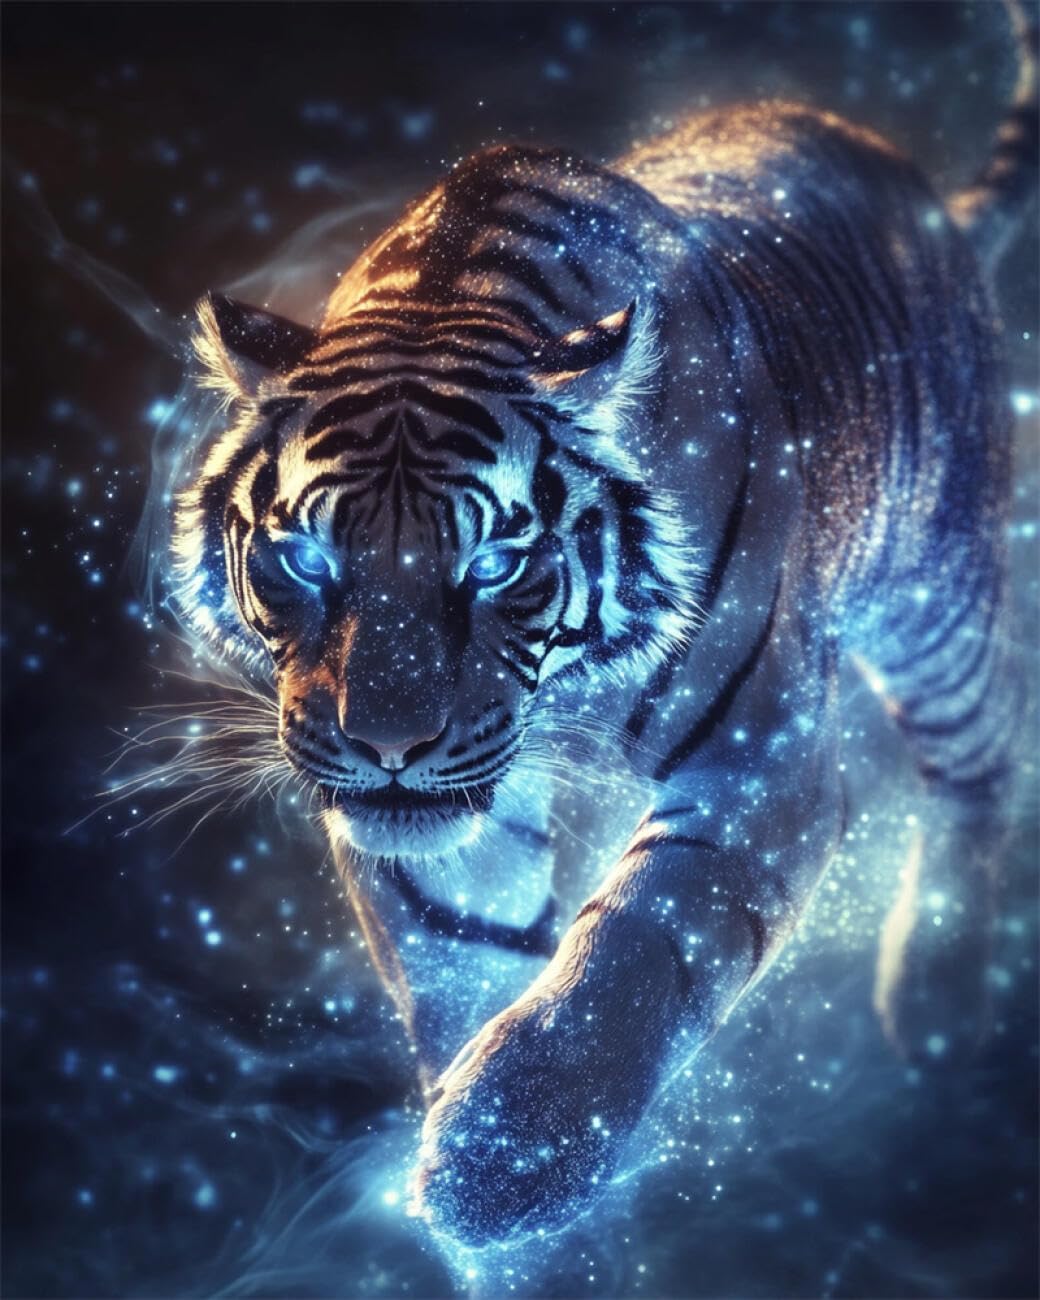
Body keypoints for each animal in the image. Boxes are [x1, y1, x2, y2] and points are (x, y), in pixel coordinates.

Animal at [171, 4, 1036, 1249]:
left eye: (492, 561)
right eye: (306, 558)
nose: (387, 748)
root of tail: (907, 180)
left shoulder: (759, 764)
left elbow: (634, 947)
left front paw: (505, 1160)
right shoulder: (442, 837)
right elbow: (462, 955)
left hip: (936, 596)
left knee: (978, 762)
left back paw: (936, 994)